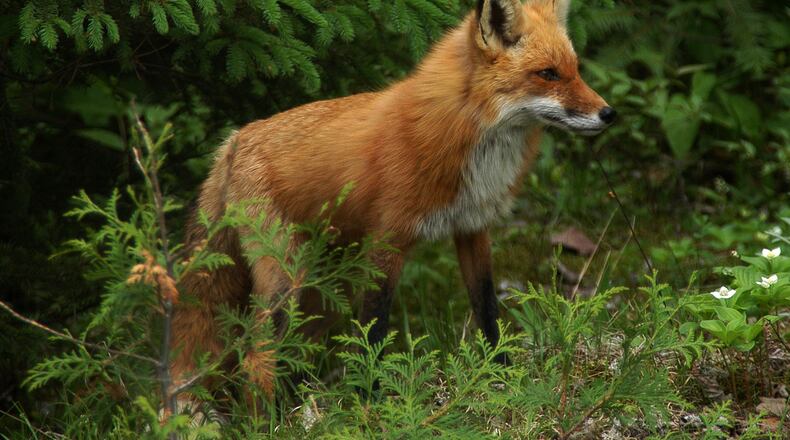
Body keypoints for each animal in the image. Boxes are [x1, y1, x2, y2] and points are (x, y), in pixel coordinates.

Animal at [171, 0, 615, 405]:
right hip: (287, 277)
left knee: (276, 353)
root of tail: (233, 141)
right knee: (255, 359)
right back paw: (273, 422)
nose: (608, 114)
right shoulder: (388, 239)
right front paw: (370, 401)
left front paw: (501, 377)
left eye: (575, 69)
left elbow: (487, 310)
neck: (466, 130)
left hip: (323, 293)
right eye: (547, 74)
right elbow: (374, 328)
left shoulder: (472, 227)